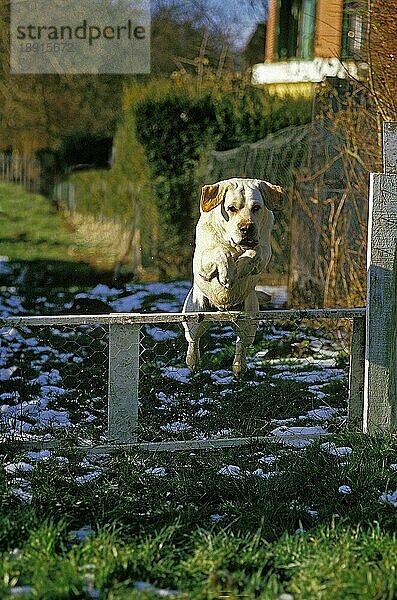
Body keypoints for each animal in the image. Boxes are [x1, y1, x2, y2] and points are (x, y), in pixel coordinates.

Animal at [181, 176, 284, 378]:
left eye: (256, 208)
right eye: (231, 208)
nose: (247, 228)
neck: (235, 244)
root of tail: (222, 310)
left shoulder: (264, 250)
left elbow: (255, 252)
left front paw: (241, 267)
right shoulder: (202, 262)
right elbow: (221, 251)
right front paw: (228, 274)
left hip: (249, 322)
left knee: (241, 342)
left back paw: (239, 367)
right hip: (194, 316)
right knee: (193, 339)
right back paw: (193, 361)